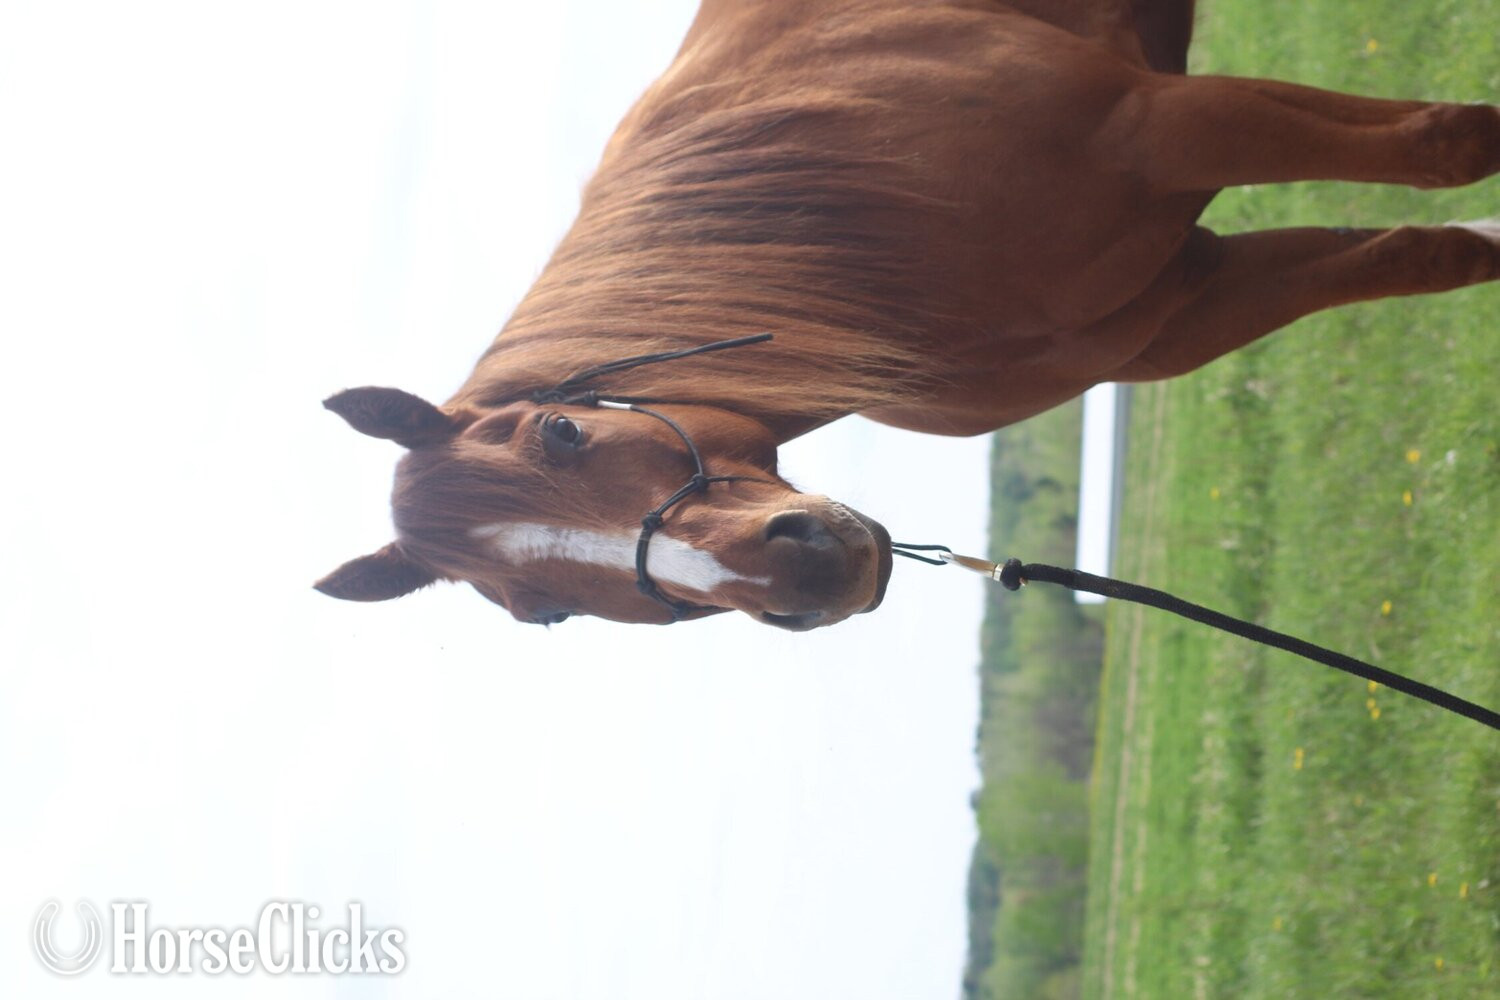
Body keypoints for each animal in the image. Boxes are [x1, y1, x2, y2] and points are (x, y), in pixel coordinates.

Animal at [316, 0, 1500, 630]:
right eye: (542, 610)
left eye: (563, 429)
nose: (801, 572)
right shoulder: (1180, 310)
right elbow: (1427, 253)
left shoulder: (1169, 123)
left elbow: (1448, 147)